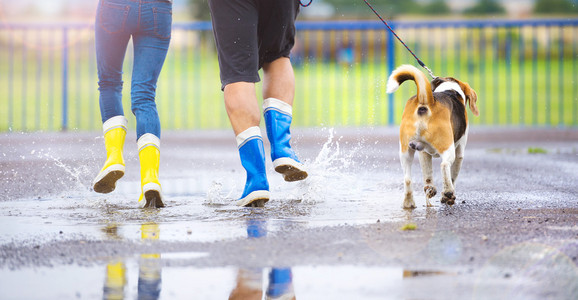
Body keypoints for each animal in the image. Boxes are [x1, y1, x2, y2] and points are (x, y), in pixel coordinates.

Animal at [388, 64, 476, 207]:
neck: (450, 88)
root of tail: (426, 102)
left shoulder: (423, 152)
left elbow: (427, 174)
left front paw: (430, 189)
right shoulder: (460, 152)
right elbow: (453, 175)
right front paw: (447, 196)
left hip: (406, 150)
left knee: (407, 178)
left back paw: (409, 202)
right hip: (448, 147)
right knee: (444, 165)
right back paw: (448, 192)